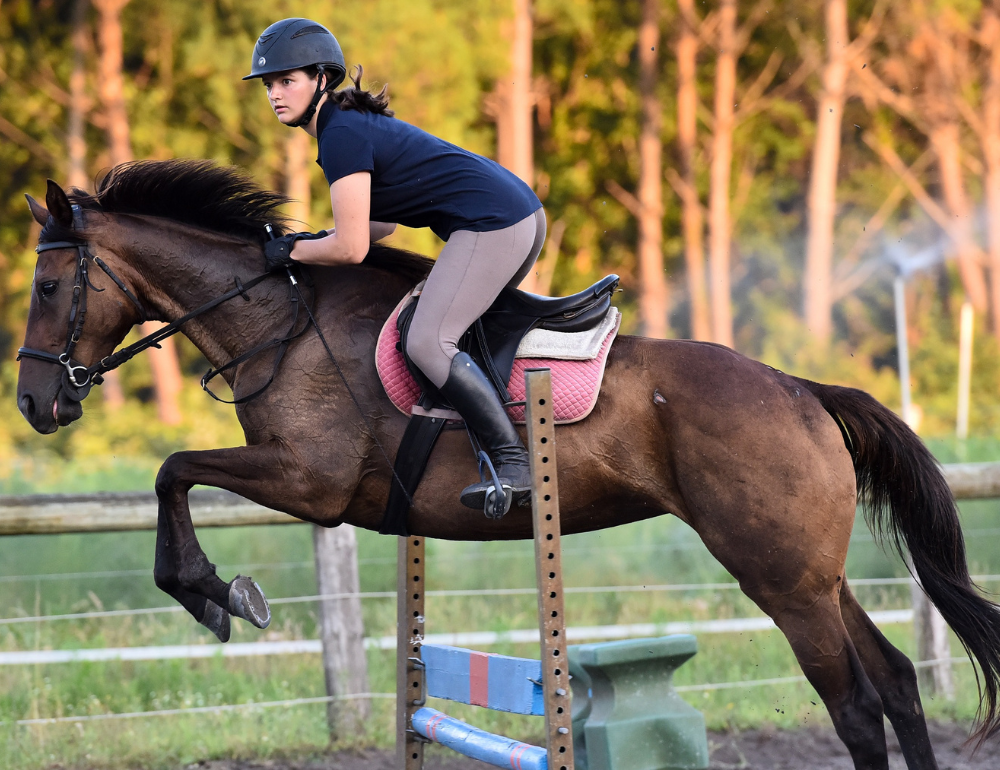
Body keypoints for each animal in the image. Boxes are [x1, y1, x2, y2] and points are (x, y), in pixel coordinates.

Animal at [13, 159, 1000, 764]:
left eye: (50, 286)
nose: (36, 404)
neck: (278, 322)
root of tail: (800, 388)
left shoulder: (310, 481)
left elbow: (173, 469)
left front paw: (215, 595)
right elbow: (175, 472)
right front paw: (216, 594)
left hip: (780, 579)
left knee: (857, 704)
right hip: (811, 574)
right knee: (898, 684)